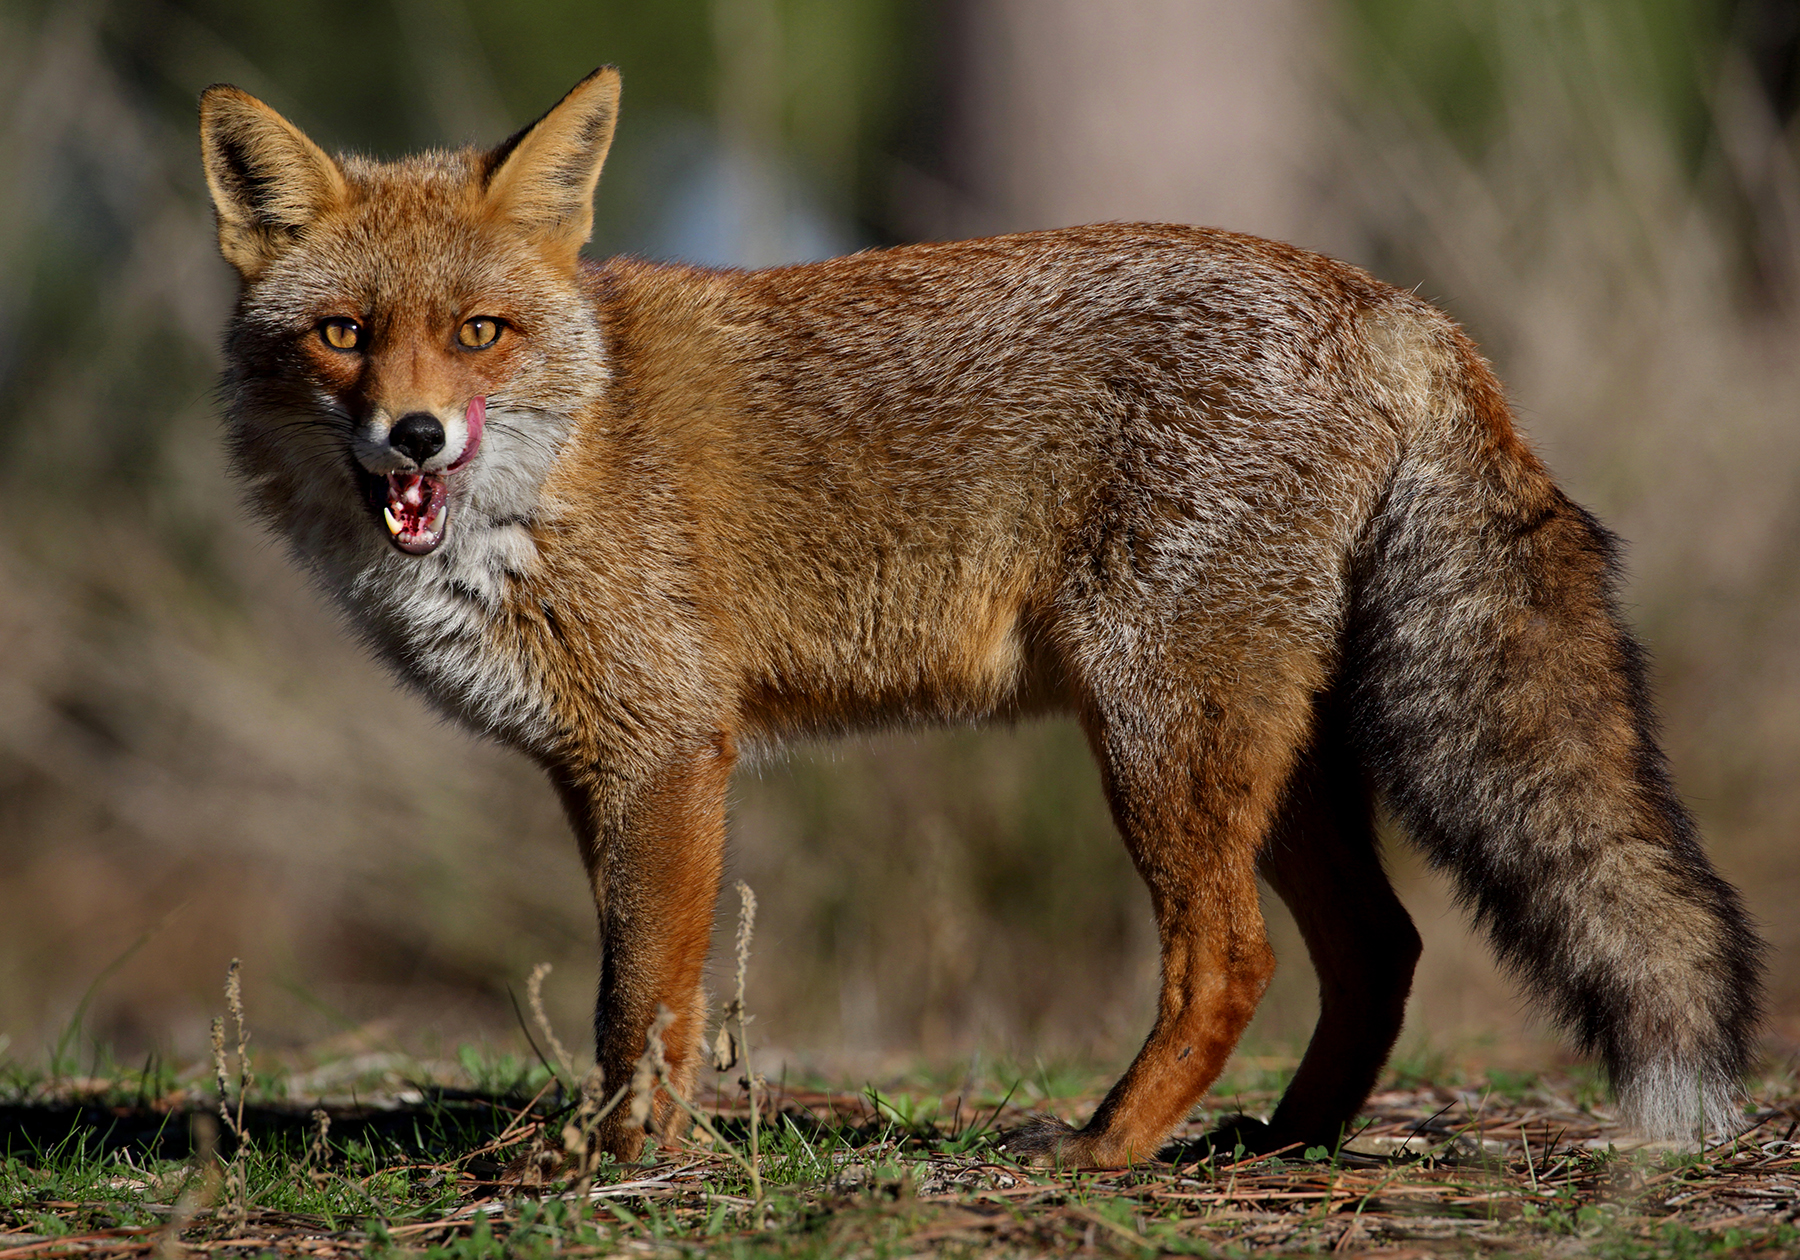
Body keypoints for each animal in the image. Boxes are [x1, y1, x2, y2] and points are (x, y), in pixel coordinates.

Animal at [198, 67, 1763, 1167]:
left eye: (479, 334)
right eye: (343, 335)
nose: (411, 438)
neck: (564, 458)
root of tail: (1395, 304)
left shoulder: (668, 751)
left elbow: (635, 1000)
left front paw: (620, 1163)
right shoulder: (604, 772)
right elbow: (648, 993)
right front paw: (637, 1145)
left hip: (1155, 736)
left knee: (1231, 961)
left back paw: (1107, 1150)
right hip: (1277, 761)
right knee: (1378, 952)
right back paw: (1276, 1146)